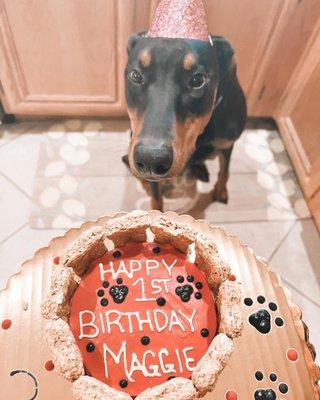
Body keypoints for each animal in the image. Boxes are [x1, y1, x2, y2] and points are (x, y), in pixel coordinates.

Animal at [122, 32, 245, 211]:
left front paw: (221, 190)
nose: (150, 159)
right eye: (136, 76)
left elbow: (225, 170)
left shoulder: (226, 143)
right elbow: (156, 196)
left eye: (197, 80)